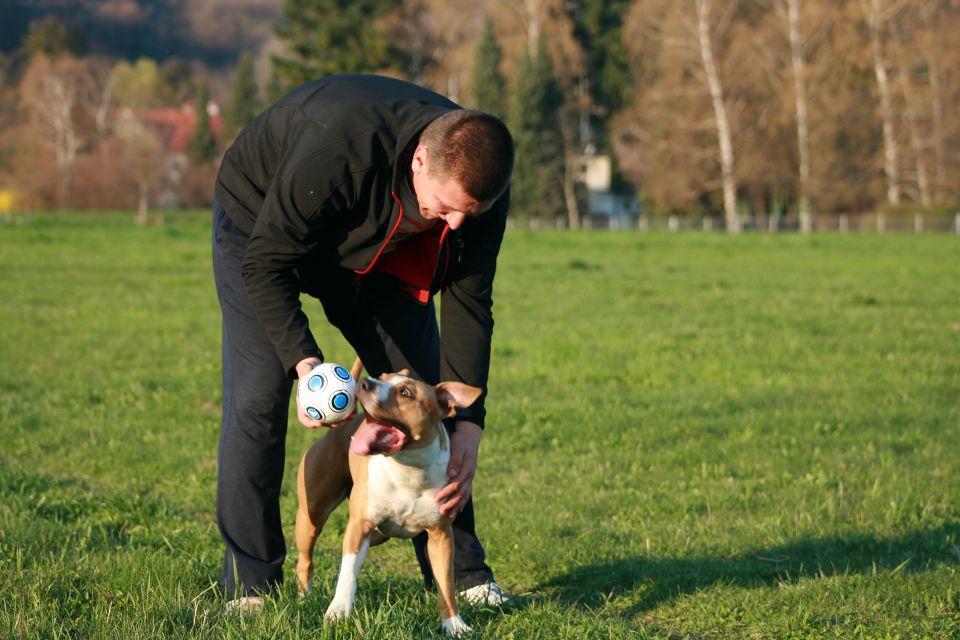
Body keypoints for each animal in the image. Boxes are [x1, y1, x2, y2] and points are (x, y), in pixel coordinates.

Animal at [292, 362, 484, 636]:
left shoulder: (441, 536)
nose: (364, 383)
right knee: (305, 559)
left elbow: (445, 584)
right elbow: (348, 572)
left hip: (379, 534)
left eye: (406, 392)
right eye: (382, 377)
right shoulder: (359, 525)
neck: (408, 469)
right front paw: (338, 611)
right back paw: (304, 596)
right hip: (312, 515)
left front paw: (454, 624)